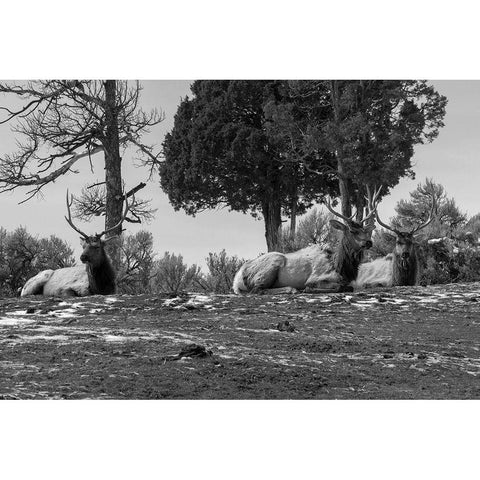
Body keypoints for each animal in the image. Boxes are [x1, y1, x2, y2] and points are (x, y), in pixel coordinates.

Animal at [233, 188, 382, 294]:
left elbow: (349, 287)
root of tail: (237, 278)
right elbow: (339, 287)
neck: (341, 268)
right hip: (269, 267)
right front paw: (308, 289)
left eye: (365, 230)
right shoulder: (315, 277)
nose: (368, 242)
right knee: (257, 290)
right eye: (352, 231)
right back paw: (291, 289)